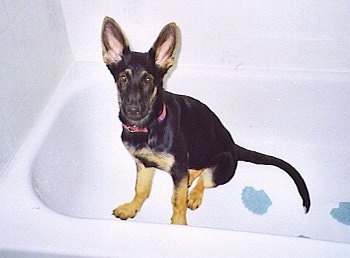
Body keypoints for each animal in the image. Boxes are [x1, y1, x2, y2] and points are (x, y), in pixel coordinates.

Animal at [100, 17, 308, 225]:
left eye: (148, 80)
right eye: (123, 78)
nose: (132, 110)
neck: (149, 126)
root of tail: (234, 146)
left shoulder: (177, 167)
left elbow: (177, 201)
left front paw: (179, 224)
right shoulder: (143, 163)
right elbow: (141, 189)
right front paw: (132, 208)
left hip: (221, 166)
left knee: (206, 179)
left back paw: (193, 195)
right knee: (197, 170)